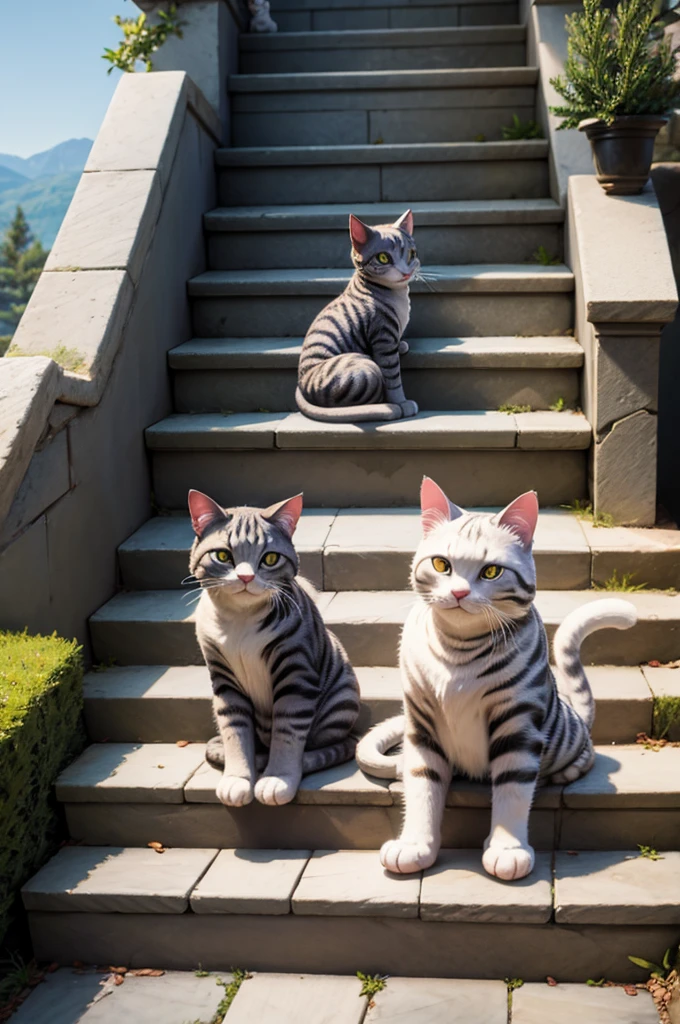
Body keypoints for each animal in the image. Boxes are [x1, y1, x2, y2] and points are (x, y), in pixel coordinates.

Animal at [296, 209, 419, 421]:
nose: (405, 273)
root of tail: (301, 385)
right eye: (384, 258)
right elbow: (393, 379)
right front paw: (402, 403)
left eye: (411, 254)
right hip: (366, 370)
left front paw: (401, 344)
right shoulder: (383, 338)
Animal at [356, 479, 639, 880]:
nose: (459, 592)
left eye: (491, 572)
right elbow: (422, 784)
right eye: (442, 565)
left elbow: (513, 790)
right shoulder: (421, 724)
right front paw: (415, 845)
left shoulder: (518, 724)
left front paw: (507, 849)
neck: (457, 649)